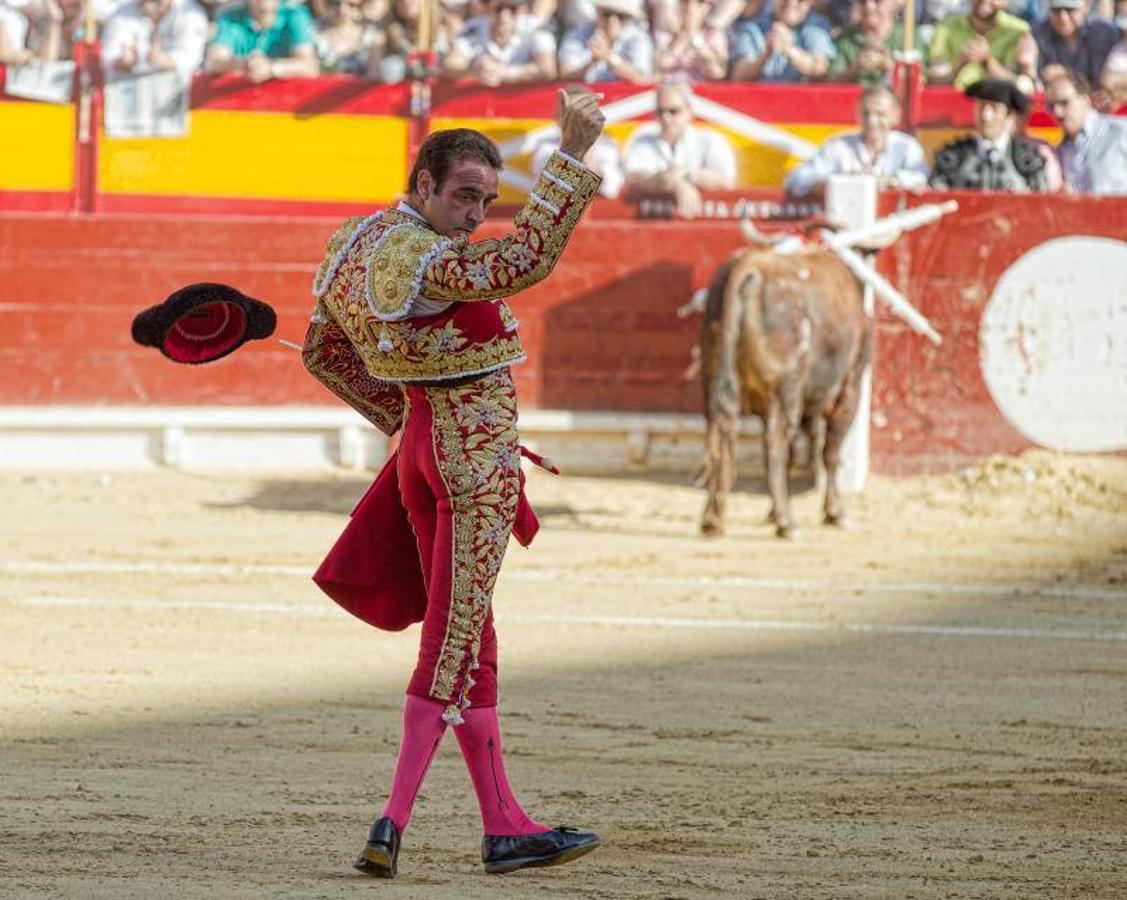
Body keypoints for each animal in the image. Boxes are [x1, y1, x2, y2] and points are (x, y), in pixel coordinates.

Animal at [698, 243, 874, 538]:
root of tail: (750, 268)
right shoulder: (849, 389)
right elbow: (830, 454)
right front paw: (836, 513)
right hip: (786, 389)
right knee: (776, 443)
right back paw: (787, 522)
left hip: (714, 380)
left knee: (722, 432)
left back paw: (713, 519)